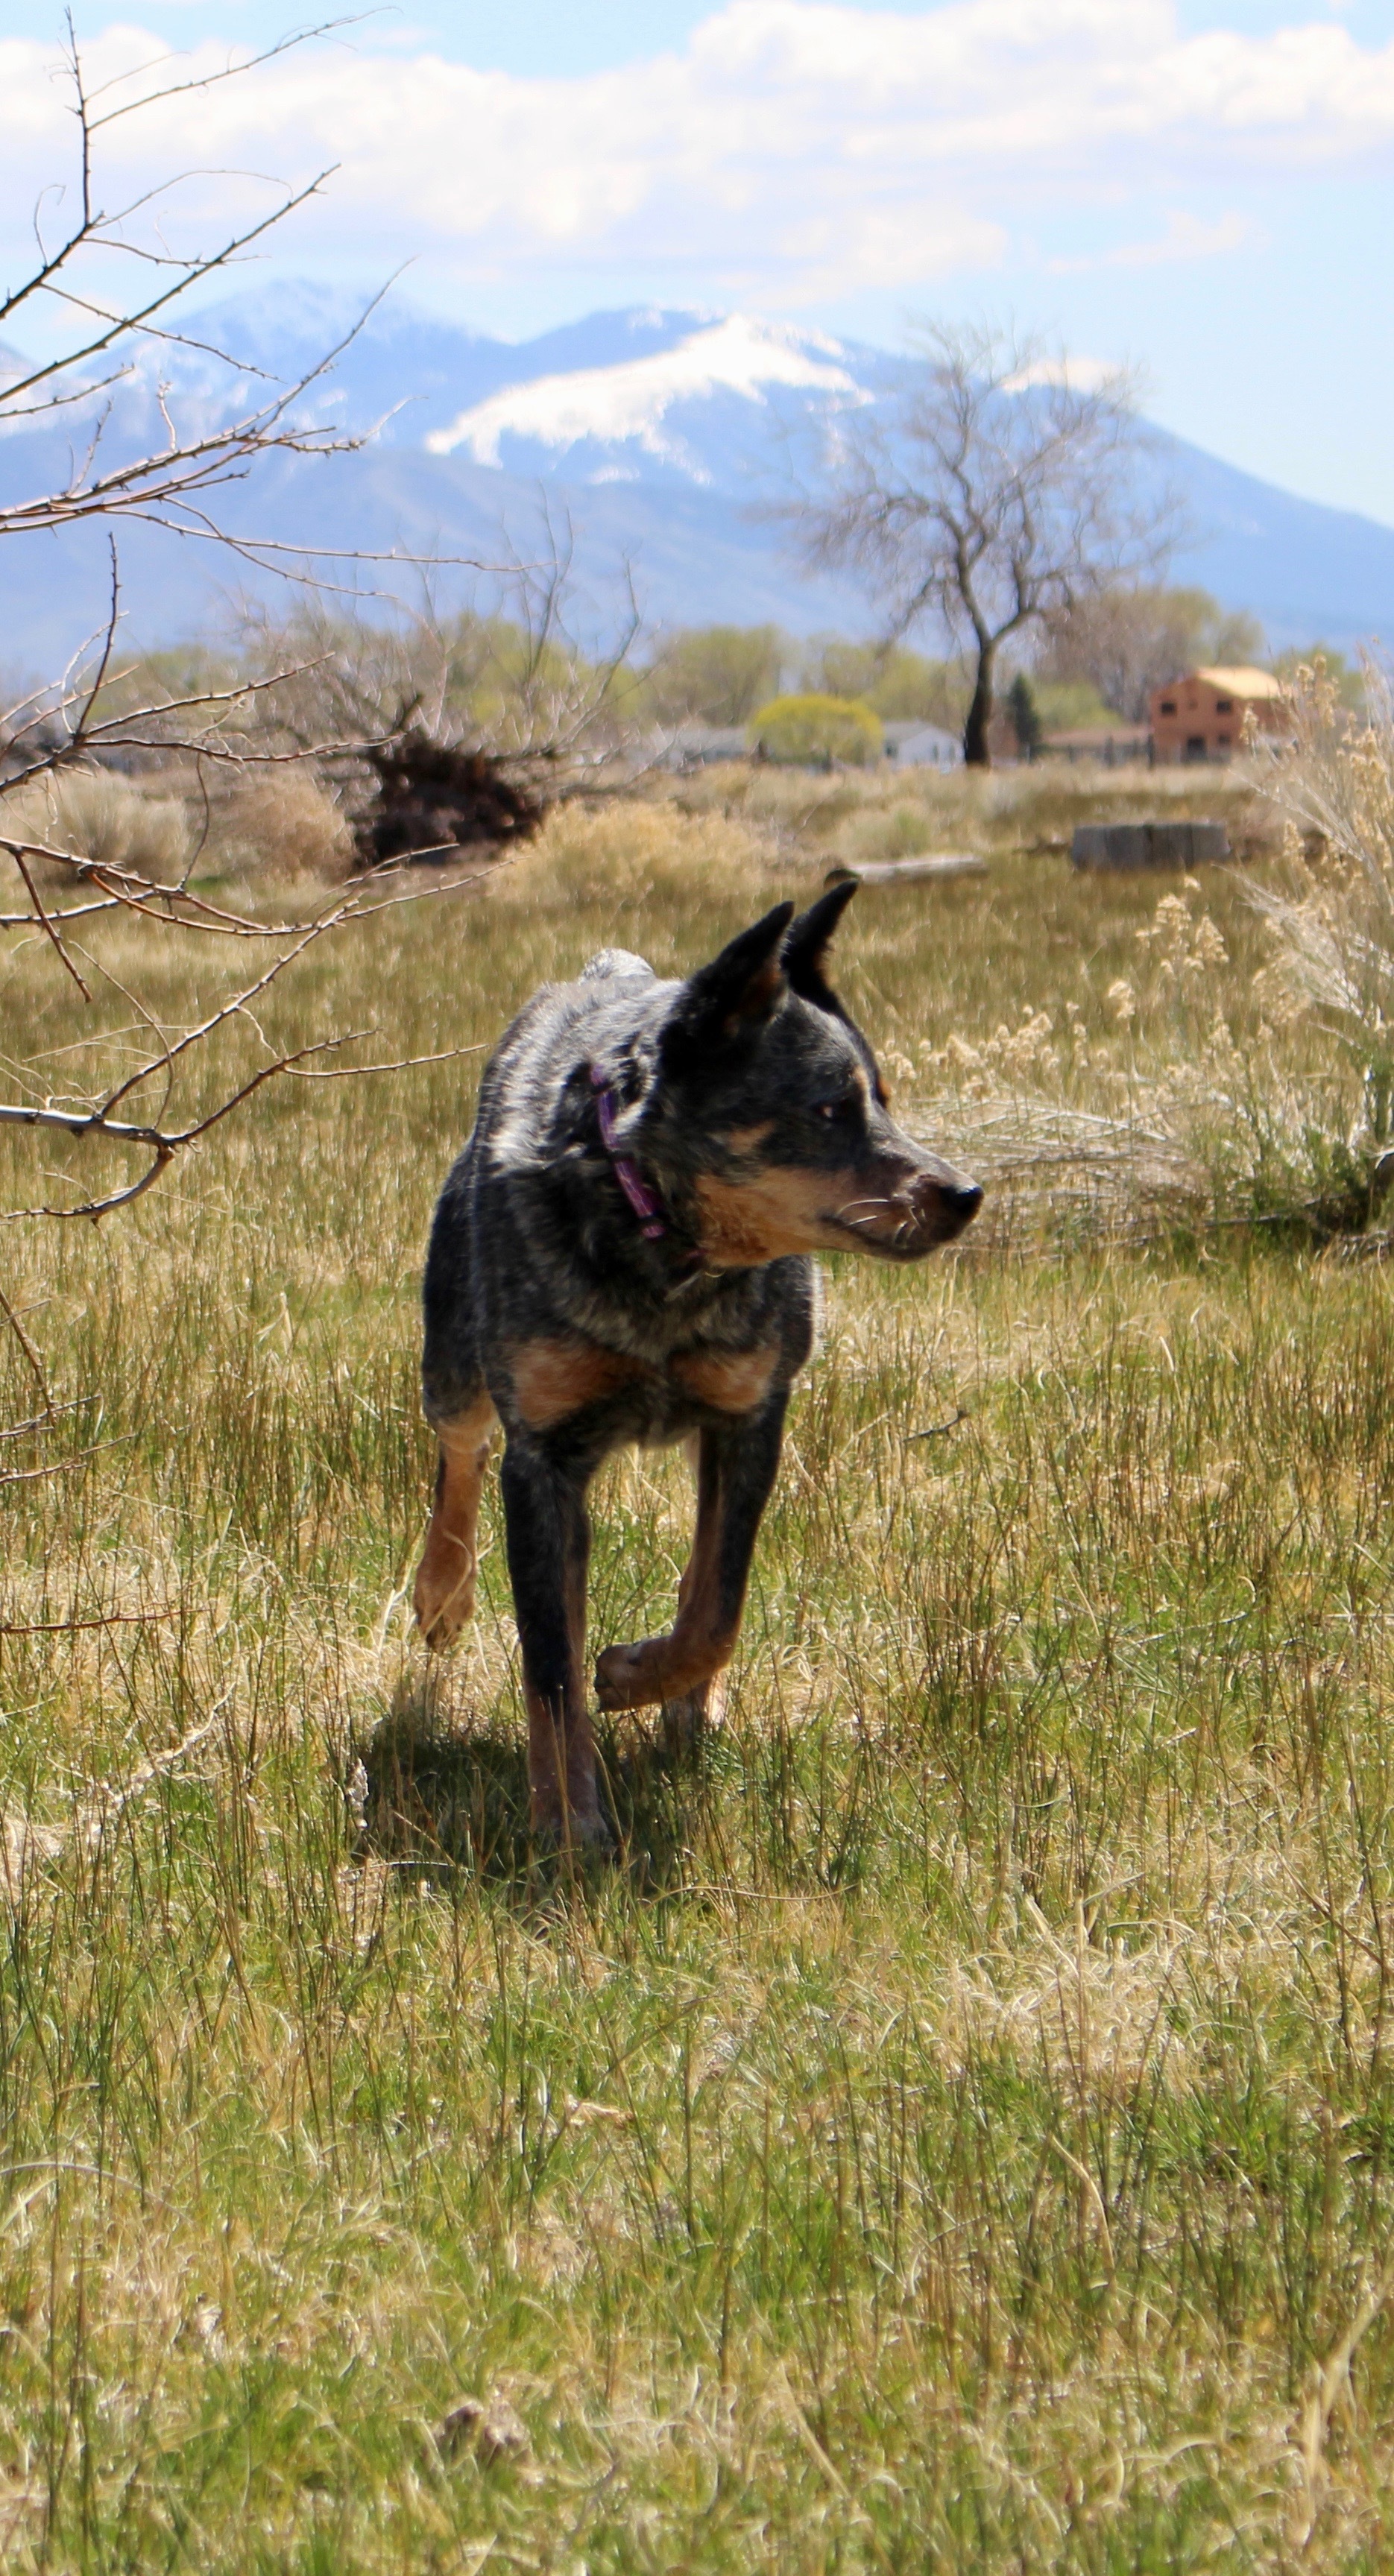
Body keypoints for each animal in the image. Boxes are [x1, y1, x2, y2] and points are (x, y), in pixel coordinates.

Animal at [409, 891, 979, 1854]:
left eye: (885, 1100)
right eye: (831, 1107)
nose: (964, 1193)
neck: (665, 1257)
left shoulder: (750, 1417)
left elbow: (717, 1603)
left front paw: (641, 1674)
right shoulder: (545, 1455)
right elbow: (551, 1662)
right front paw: (567, 1823)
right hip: (450, 1350)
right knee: (459, 1454)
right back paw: (442, 1593)